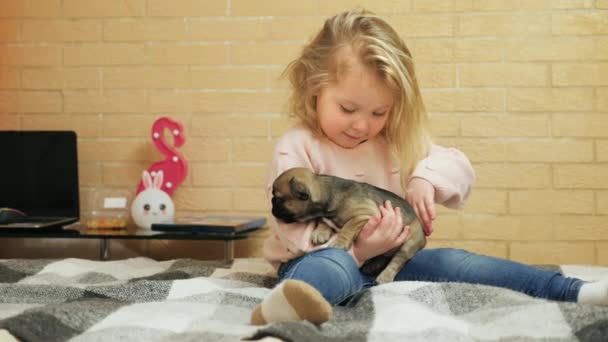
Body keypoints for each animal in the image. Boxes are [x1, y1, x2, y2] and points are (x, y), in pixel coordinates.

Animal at [274, 168, 426, 284]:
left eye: (279, 199)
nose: (272, 207)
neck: (327, 193)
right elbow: (324, 222)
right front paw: (320, 233)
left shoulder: (364, 215)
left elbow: (348, 227)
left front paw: (340, 242)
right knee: (385, 256)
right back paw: (372, 266)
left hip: (409, 243)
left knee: (396, 261)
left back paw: (385, 276)